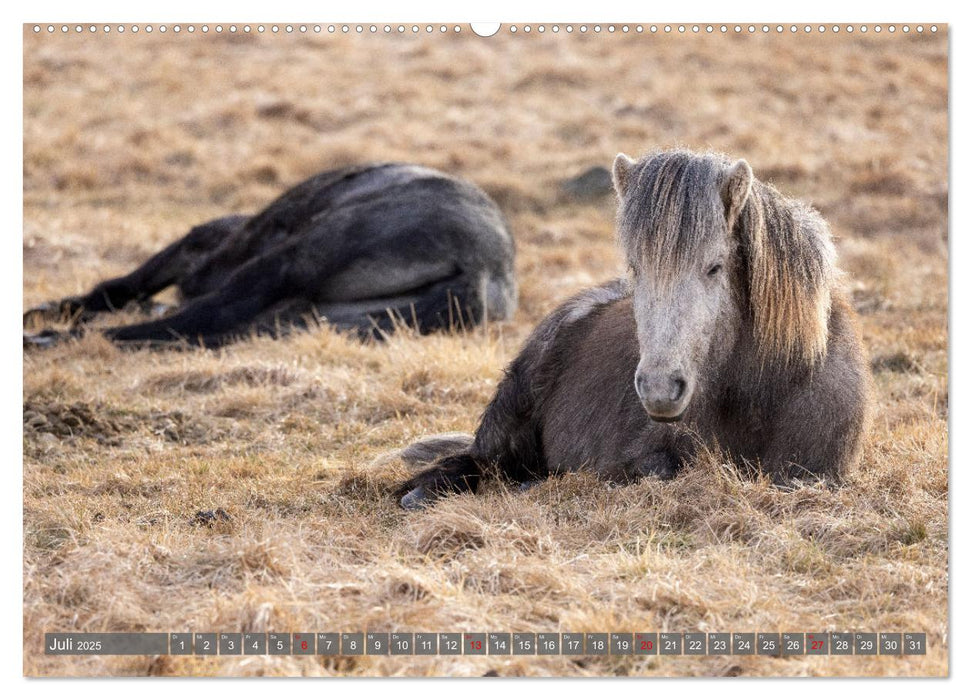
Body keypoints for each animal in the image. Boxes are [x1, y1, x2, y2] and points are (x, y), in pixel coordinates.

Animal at [22, 164, 516, 350]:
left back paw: (55, 338)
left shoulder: (200, 244)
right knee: (206, 332)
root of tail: (484, 266)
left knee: (198, 318)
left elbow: (126, 284)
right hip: (314, 317)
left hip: (288, 262)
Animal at [394, 149, 872, 508]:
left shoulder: (814, 471)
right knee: (478, 462)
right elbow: (652, 470)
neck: (766, 393)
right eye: (636, 268)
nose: (660, 389)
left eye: (715, 267)